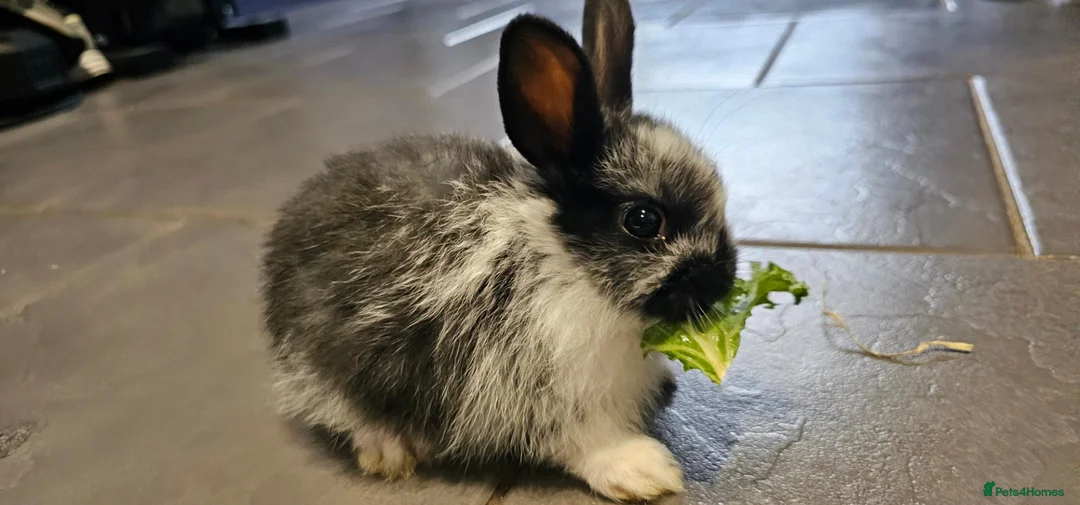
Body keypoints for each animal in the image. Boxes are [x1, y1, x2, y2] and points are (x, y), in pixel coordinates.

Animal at [259, 0, 736, 501]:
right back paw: (389, 449)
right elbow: (581, 439)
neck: (571, 268)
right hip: (325, 367)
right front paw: (644, 470)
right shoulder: (528, 391)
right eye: (643, 220)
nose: (722, 283)